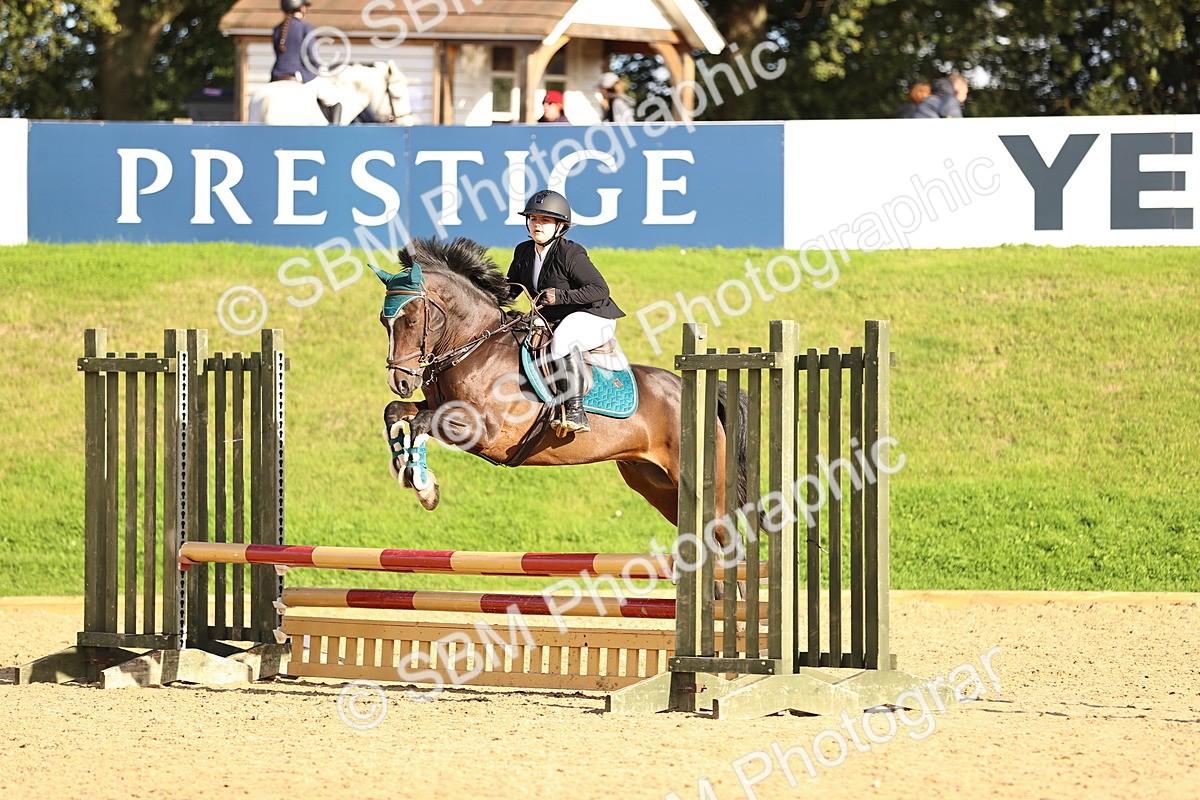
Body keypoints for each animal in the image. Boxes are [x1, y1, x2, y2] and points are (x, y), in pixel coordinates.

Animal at [373, 237, 748, 551]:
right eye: (383, 320)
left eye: (410, 319)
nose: (400, 380)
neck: (475, 345)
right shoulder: (441, 407)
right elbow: (396, 412)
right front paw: (407, 471)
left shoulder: (486, 431)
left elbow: (421, 422)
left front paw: (423, 485)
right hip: (656, 485)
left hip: (702, 486)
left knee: (728, 542)